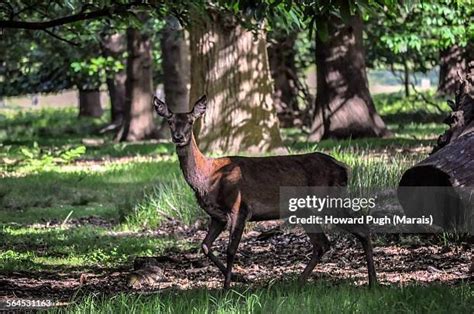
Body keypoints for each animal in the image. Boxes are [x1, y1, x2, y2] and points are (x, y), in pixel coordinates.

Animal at [155, 96, 378, 290]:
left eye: (190, 121)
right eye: (170, 121)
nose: (178, 137)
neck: (208, 177)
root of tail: (344, 168)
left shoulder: (239, 207)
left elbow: (231, 249)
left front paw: (227, 289)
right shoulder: (217, 216)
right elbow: (205, 246)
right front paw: (240, 278)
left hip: (329, 200)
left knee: (360, 228)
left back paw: (373, 283)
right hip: (307, 210)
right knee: (322, 243)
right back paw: (297, 283)